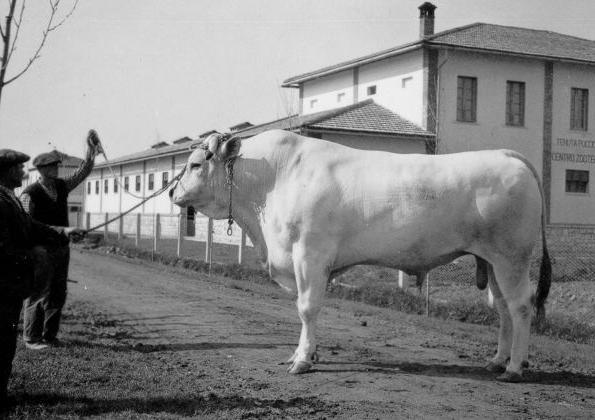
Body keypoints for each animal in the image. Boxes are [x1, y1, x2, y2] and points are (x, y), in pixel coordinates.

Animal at [170, 130, 552, 382]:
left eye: (194, 164)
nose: (172, 191)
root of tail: (505, 154)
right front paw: (305, 352)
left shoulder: (309, 254)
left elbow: (307, 308)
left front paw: (303, 360)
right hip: (491, 260)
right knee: (502, 307)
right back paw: (497, 360)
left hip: (511, 256)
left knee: (520, 305)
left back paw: (514, 368)